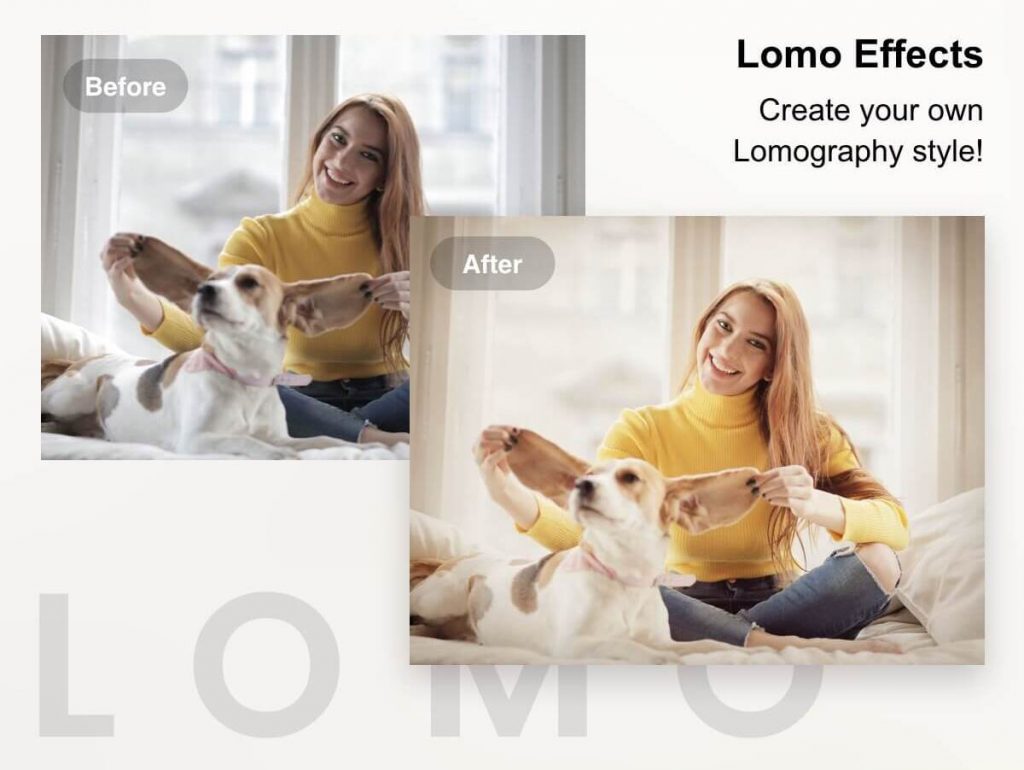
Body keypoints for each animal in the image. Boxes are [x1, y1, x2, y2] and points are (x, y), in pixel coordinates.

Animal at [41, 234, 376, 456]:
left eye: (249, 283)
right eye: (210, 279)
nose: (204, 289)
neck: (245, 379)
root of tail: (78, 363)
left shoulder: (281, 436)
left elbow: (325, 440)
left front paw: (366, 447)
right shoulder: (198, 439)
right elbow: (260, 446)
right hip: (71, 397)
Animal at [411, 428, 901, 663]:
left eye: (629, 478)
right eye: (584, 476)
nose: (583, 486)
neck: (625, 580)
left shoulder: (669, 639)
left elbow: (708, 646)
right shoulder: (575, 644)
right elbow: (637, 650)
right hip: (443, 596)